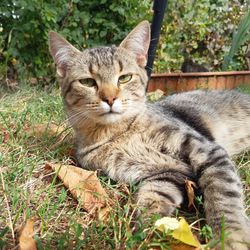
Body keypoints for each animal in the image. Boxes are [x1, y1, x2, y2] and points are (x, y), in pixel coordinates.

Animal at [48, 21, 250, 248]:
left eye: (124, 78)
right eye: (88, 82)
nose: (110, 99)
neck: (118, 134)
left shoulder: (207, 150)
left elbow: (223, 195)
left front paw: (230, 237)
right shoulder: (167, 173)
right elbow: (152, 199)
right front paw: (145, 232)